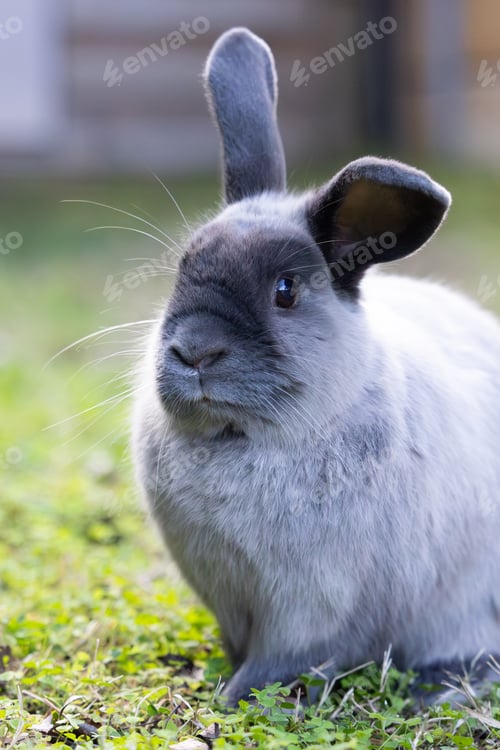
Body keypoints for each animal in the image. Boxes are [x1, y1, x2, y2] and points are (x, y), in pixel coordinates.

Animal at [132, 27, 500, 706]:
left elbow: (280, 660)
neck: (243, 439)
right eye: (183, 270)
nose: (194, 350)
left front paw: (228, 700)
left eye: (285, 291)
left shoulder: (310, 608)